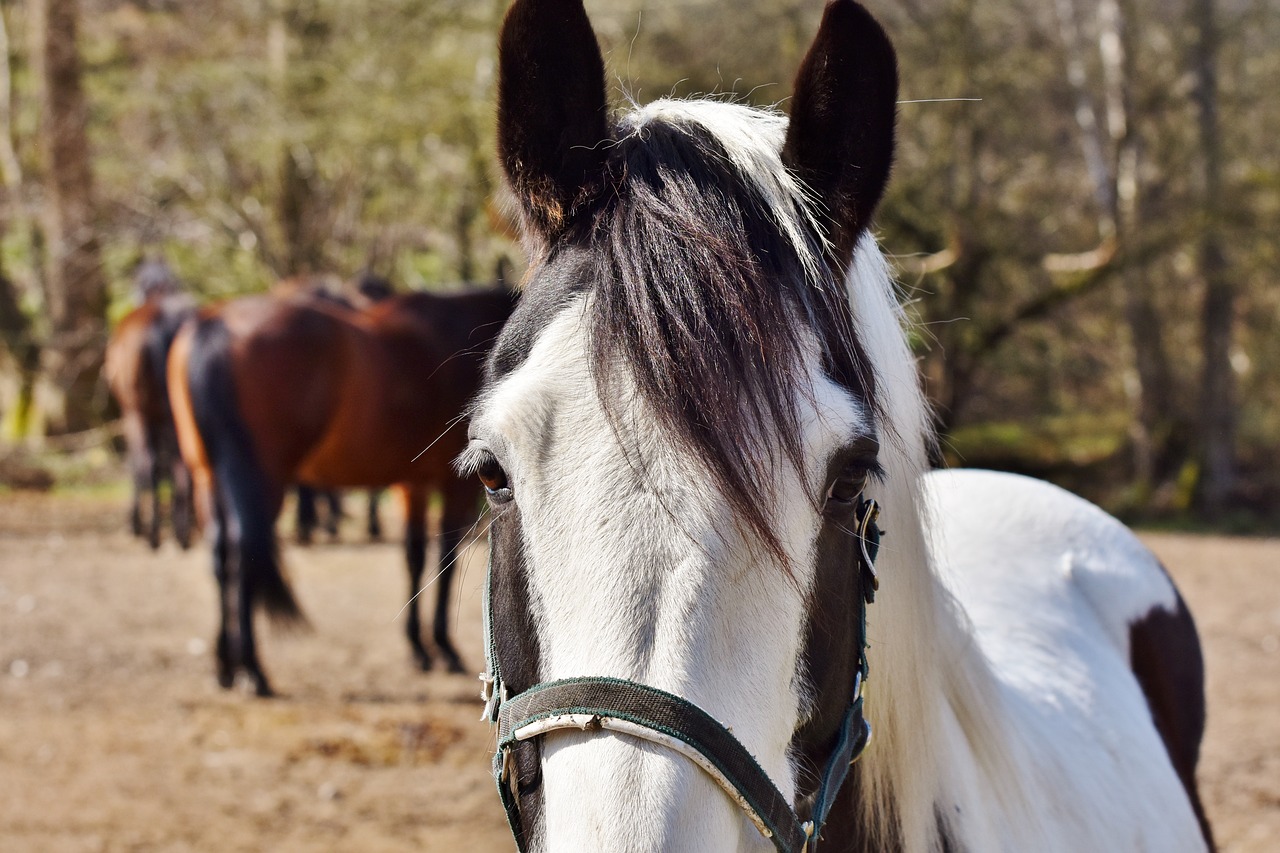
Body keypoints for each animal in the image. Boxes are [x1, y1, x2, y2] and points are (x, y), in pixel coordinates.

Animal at [103, 262, 197, 548]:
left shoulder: (132, 415)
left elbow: (138, 465)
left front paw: (137, 523)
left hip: (141, 415)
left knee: (150, 463)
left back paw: (154, 533)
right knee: (183, 462)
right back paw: (182, 531)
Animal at [167, 281, 517, 696]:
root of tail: (216, 321)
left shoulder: (412, 484)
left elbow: (415, 557)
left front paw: (419, 647)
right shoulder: (454, 487)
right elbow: (444, 563)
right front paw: (443, 647)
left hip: (210, 479)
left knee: (219, 556)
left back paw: (226, 664)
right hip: (260, 482)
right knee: (242, 554)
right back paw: (252, 668)